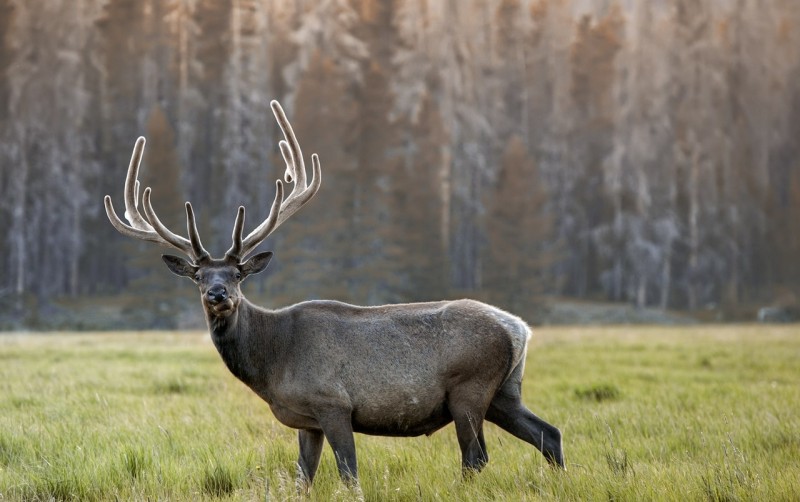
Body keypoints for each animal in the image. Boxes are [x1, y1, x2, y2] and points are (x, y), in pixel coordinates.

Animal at [103, 100, 564, 488]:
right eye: (198, 276)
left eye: (237, 275)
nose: (218, 294)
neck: (274, 361)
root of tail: (518, 328)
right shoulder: (307, 420)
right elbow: (302, 479)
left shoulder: (334, 404)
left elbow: (349, 475)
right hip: (504, 390)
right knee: (549, 433)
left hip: (470, 387)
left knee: (477, 456)